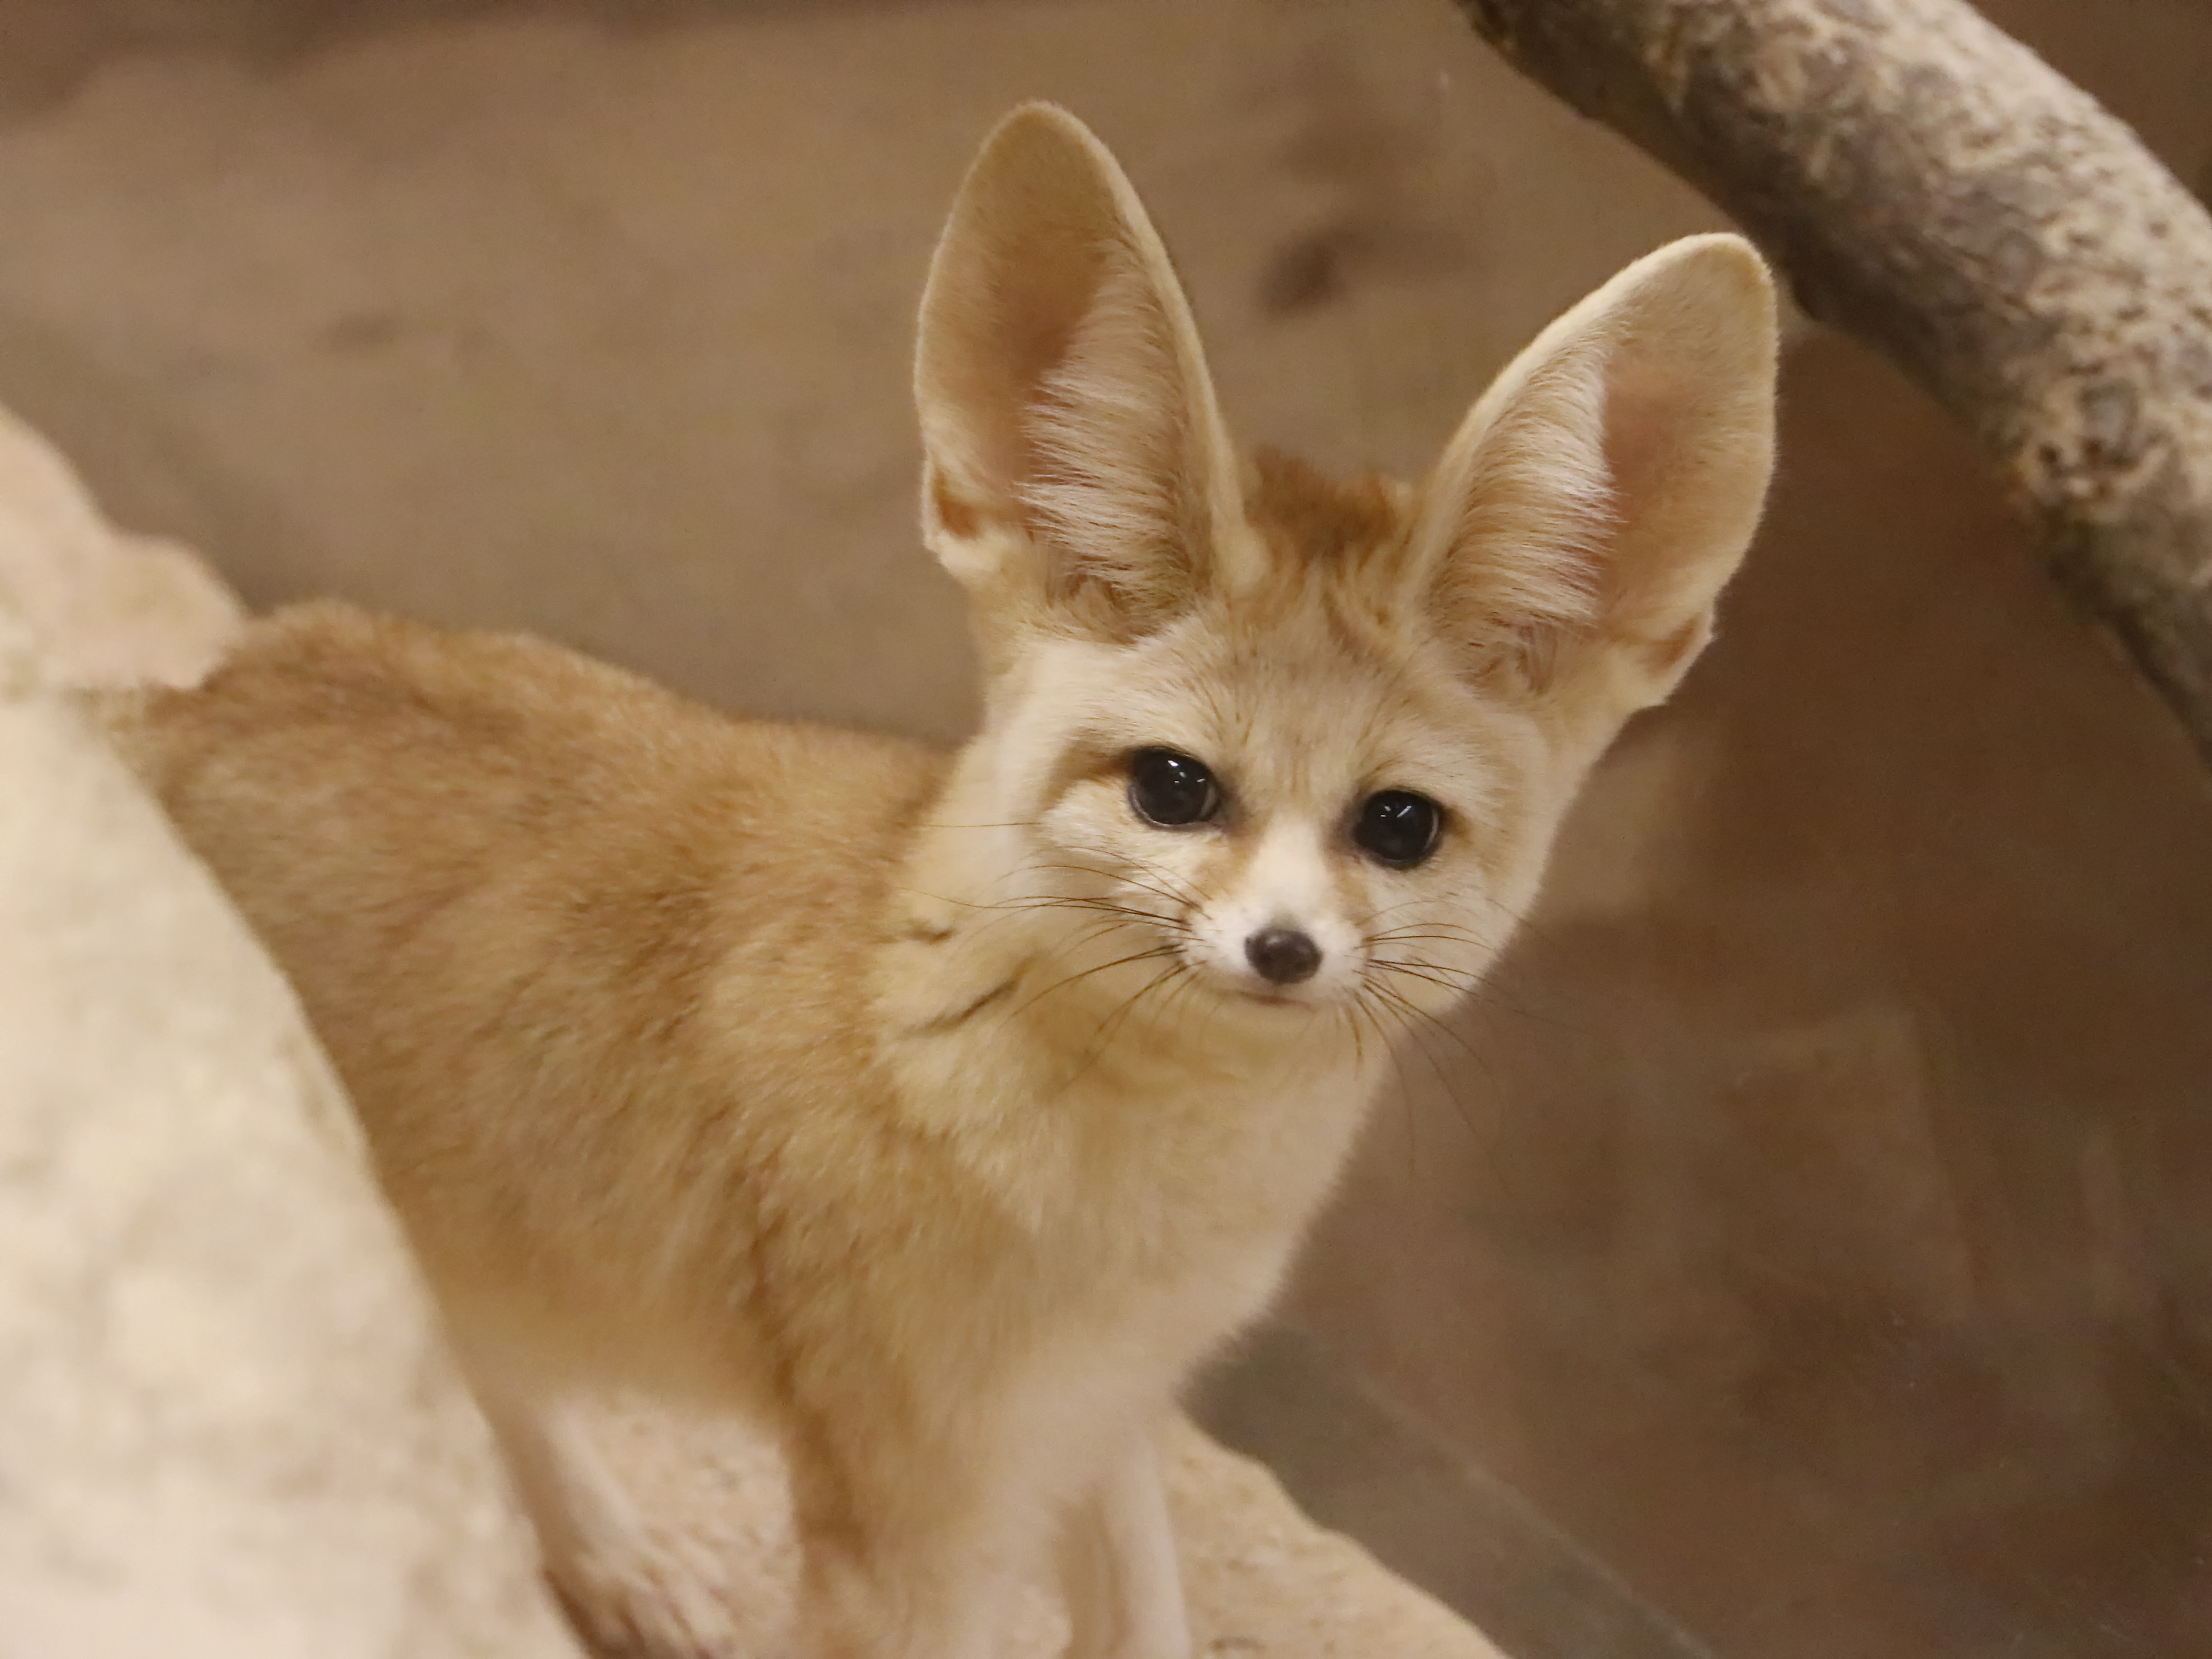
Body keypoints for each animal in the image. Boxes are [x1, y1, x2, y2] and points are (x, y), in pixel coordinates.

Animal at [103, 104, 1776, 1659]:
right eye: (1174, 788)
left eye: (1400, 827)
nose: (1284, 948)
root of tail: (186, 697)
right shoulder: (910, 1517)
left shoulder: (1103, 1420)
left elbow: (1148, 1619)